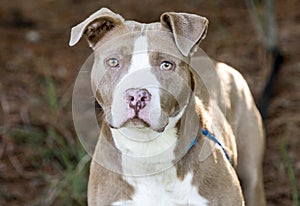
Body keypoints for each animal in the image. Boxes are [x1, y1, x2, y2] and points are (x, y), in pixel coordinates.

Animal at [68, 8, 264, 206]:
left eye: (166, 65)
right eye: (113, 62)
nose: (136, 95)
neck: (148, 153)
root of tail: (220, 65)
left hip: (252, 174)